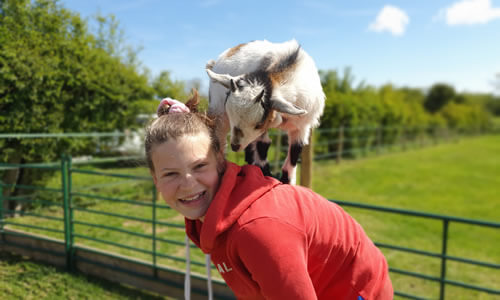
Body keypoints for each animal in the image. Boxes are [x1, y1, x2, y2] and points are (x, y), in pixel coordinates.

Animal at [206, 38, 324, 184]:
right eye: (231, 114)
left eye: (259, 124)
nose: (235, 146)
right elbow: (263, 146)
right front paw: (265, 175)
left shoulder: (301, 126)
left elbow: (294, 154)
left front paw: (287, 182)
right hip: (218, 112)